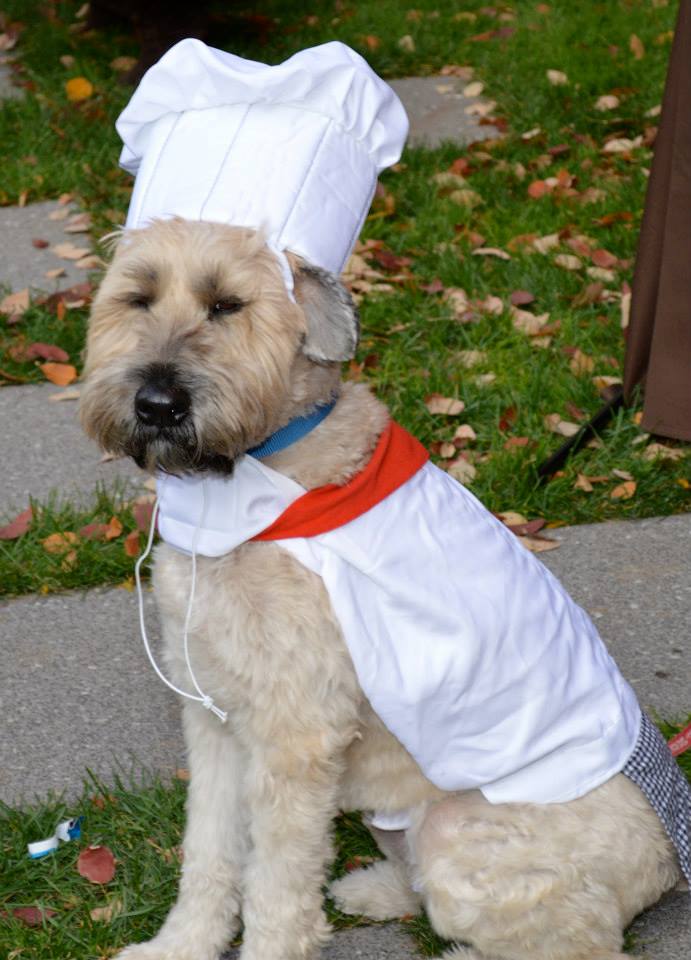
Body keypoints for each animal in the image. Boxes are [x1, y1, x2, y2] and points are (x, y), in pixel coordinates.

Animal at [79, 218, 680, 960]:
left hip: (465, 835)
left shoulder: (294, 736)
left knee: (574, 938)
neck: (252, 484)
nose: (157, 405)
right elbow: (210, 853)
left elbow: (276, 885)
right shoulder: (214, 715)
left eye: (227, 305)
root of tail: (666, 866)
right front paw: (180, 946)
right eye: (138, 298)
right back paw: (372, 889)